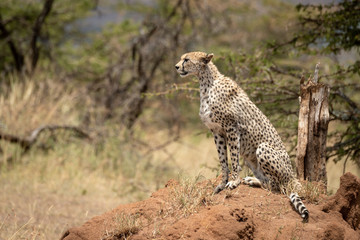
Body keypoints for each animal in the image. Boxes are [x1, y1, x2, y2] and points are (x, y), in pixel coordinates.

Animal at [175, 51, 310, 221]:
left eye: (186, 59)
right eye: (182, 58)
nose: (176, 66)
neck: (206, 83)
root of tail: (293, 176)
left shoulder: (231, 128)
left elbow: (233, 158)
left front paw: (234, 182)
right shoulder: (217, 132)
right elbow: (223, 160)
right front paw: (222, 184)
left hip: (263, 148)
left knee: (276, 186)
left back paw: (253, 180)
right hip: (250, 158)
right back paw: (253, 180)